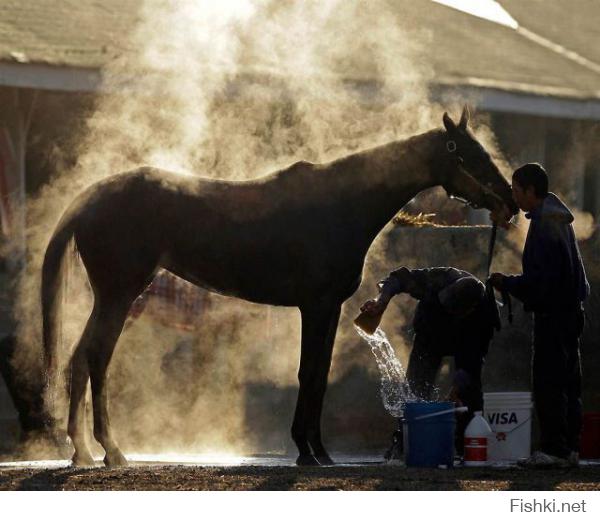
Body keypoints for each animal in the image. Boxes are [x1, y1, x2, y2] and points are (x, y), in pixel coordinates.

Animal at [42, 106, 516, 468]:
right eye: (468, 154)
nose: (509, 201)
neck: (341, 206)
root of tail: (90, 196)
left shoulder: (331, 309)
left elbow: (319, 377)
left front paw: (320, 452)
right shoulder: (316, 306)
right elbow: (308, 373)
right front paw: (305, 451)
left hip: (109, 299)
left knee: (79, 358)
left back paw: (82, 452)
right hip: (119, 295)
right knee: (97, 359)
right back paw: (111, 451)